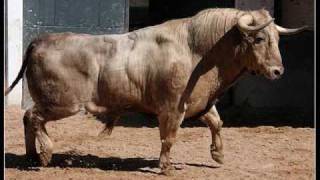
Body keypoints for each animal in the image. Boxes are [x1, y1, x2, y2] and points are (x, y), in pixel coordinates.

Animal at [4, 8, 308, 174]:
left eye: (277, 38)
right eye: (259, 38)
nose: (278, 71)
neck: (198, 50)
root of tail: (42, 39)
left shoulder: (199, 102)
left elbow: (217, 122)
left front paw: (218, 155)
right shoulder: (172, 109)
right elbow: (169, 137)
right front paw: (167, 167)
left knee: (29, 119)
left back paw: (32, 156)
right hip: (64, 104)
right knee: (33, 117)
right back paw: (45, 153)